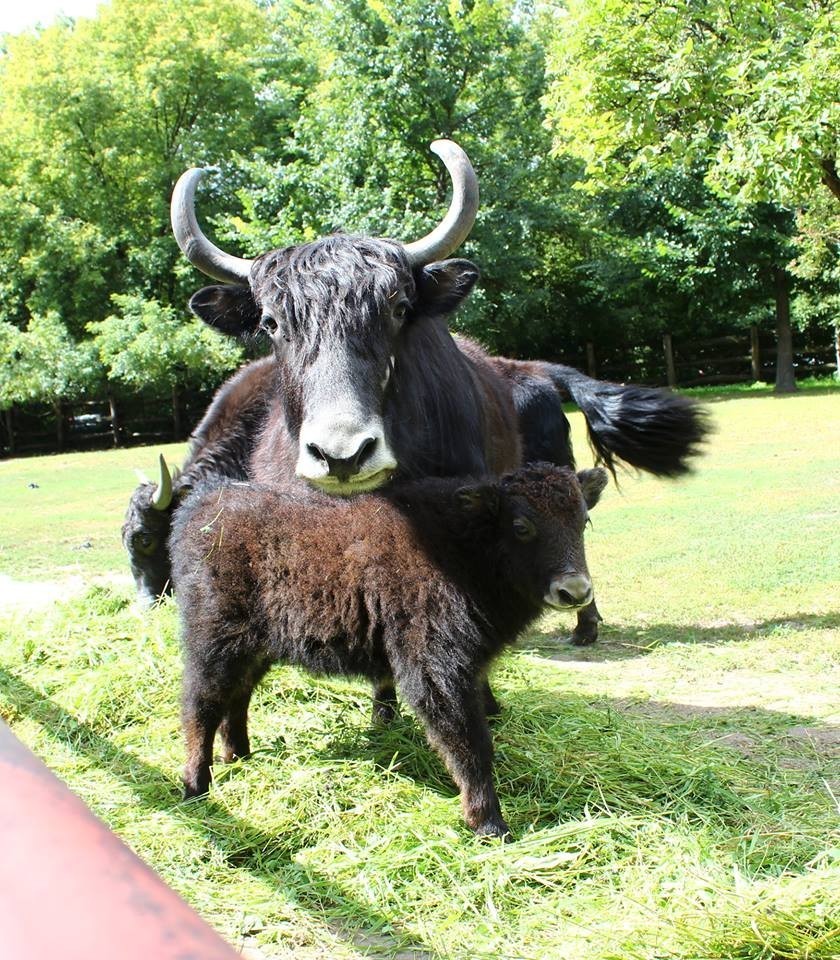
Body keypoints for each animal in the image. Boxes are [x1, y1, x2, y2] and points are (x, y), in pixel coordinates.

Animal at [171, 462, 608, 836]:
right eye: (521, 526)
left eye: (583, 520)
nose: (575, 591)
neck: (466, 543)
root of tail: (203, 504)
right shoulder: (436, 671)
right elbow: (469, 742)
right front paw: (489, 823)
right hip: (212, 642)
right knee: (201, 704)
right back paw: (195, 786)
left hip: (254, 647)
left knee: (238, 696)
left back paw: (238, 755)